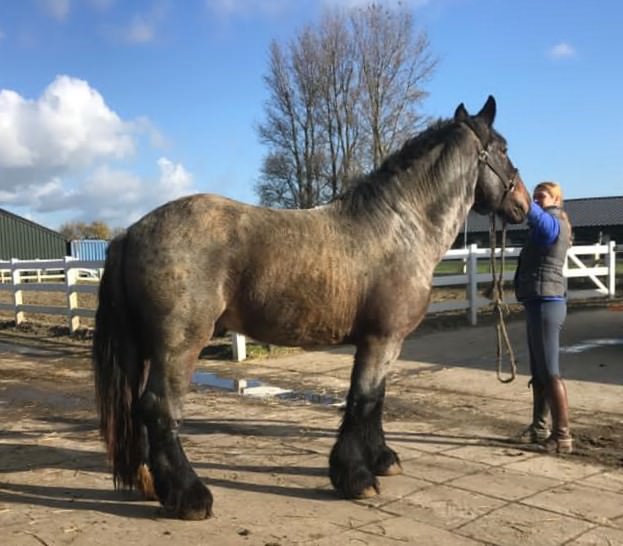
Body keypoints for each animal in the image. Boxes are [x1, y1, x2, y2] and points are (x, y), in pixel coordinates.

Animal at [92, 96, 532, 520]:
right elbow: (362, 399)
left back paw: (155, 485)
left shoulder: (387, 342)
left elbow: (376, 399)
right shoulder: (381, 339)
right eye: (504, 148)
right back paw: (191, 497)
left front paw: (382, 459)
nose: (524, 205)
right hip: (179, 345)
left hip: (146, 348)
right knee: (159, 408)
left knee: (140, 408)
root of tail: (129, 233)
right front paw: (355, 477)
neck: (400, 226)